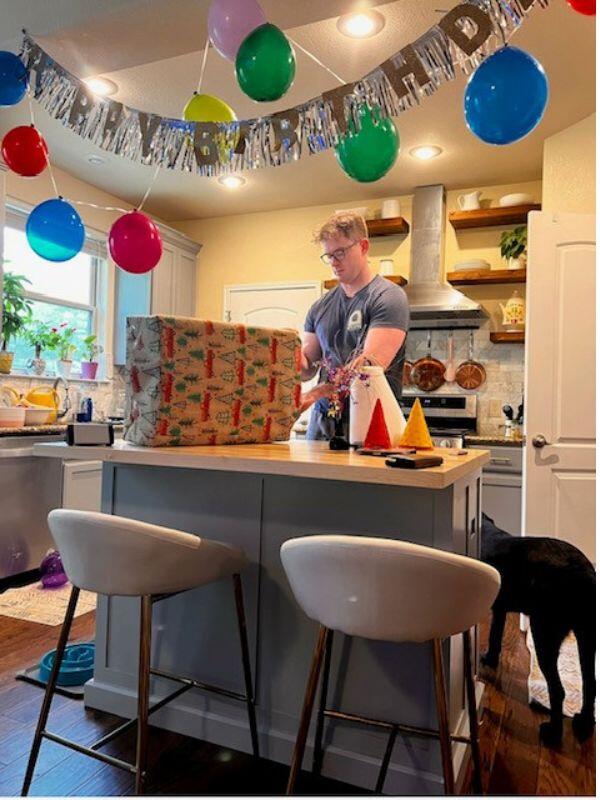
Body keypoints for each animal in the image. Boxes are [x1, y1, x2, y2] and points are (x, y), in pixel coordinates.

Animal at [480, 510, 592, 748]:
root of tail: (584, 573)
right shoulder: (500, 608)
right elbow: (495, 635)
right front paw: (491, 659)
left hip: (544, 633)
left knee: (558, 691)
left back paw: (553, 734)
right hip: (587, 634)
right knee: (590, 681)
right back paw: (584, 723)